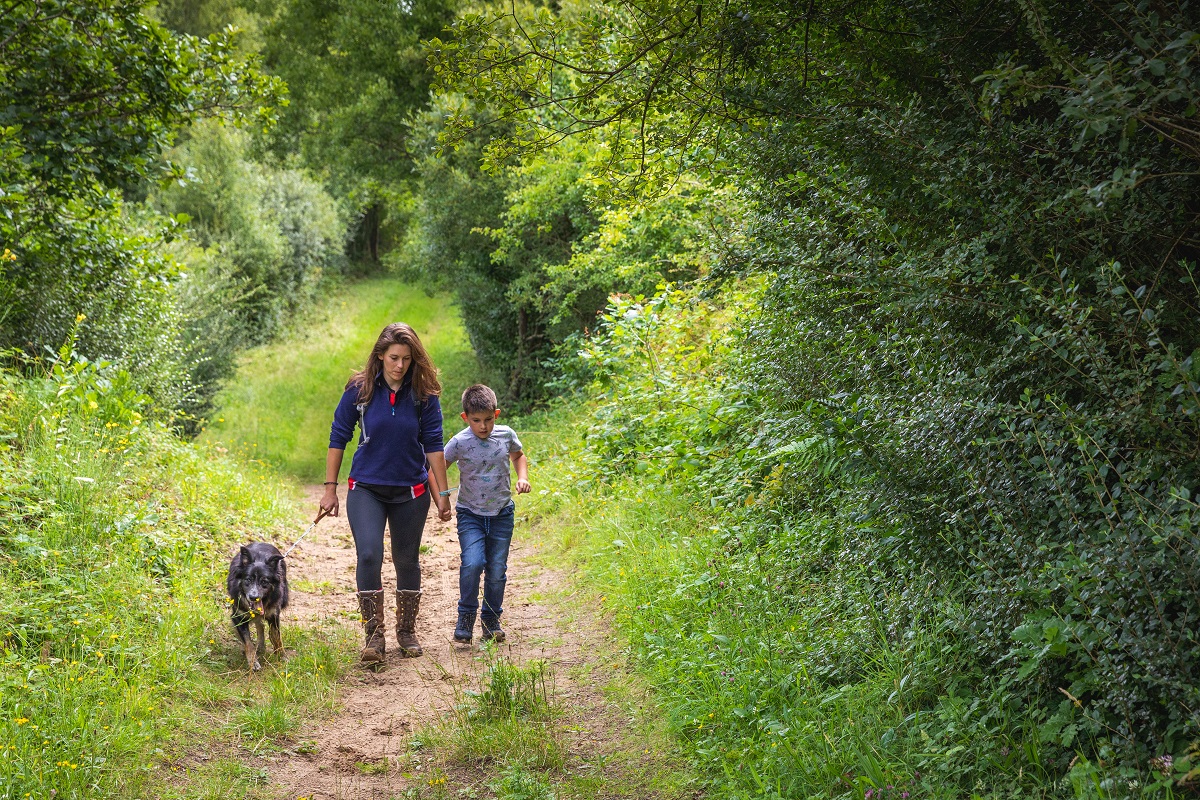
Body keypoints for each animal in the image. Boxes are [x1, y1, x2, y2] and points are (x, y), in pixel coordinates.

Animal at [226, 542, 289, 671]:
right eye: (248, 580)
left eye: (264, 581)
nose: (253, 597)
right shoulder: (238, 616)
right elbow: (248, 642)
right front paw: (253, 661)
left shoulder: (274, 614)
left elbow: (276, 636)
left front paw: (281, 655)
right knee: (259, 624)